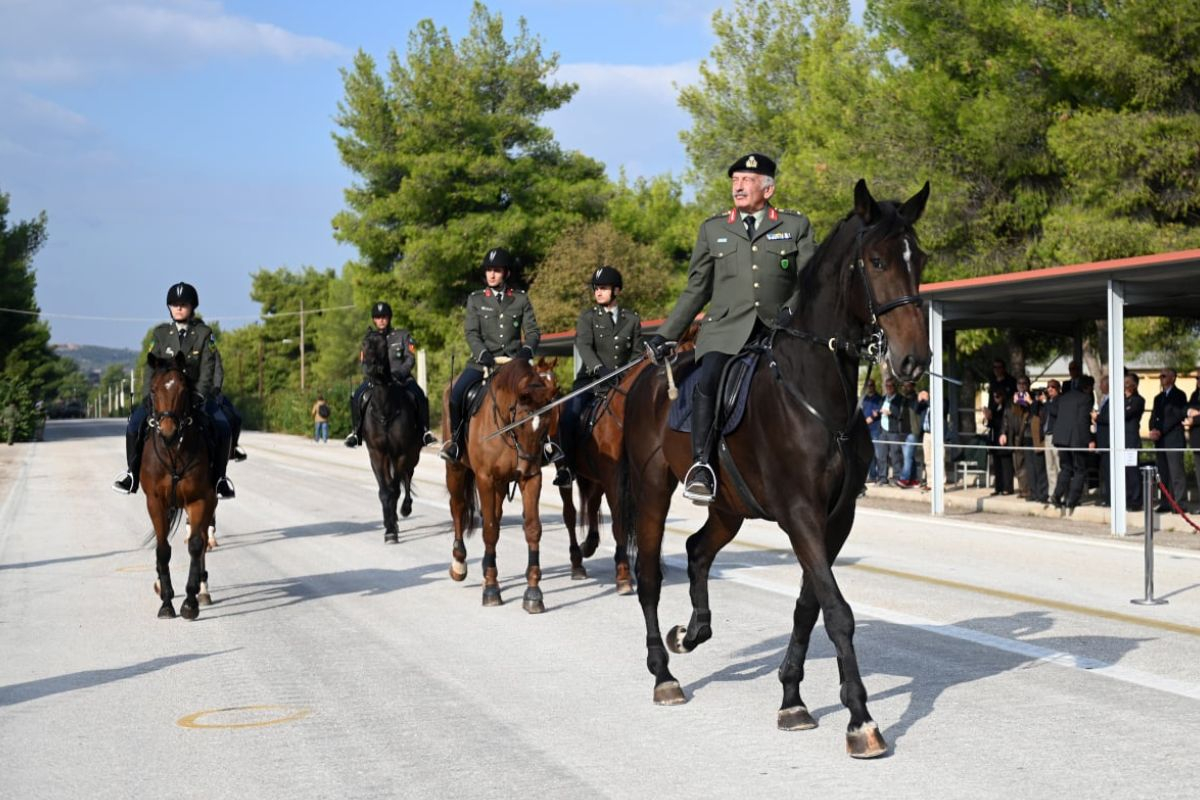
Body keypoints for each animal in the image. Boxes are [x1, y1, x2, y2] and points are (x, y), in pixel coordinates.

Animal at [142, 352, 218, 623]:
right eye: (153, 390)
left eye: (184, 390)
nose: (168, 431)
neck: (174, 450)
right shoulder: (155, 501)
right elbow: (163, 549)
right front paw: (166, 602)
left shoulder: (201, 500)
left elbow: (196, 545)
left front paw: (190, 602)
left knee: (203, 539)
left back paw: (203, 590)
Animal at [360, 331, 422, 544]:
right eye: (363, 344)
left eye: (381, 345)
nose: (370, 367)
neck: (385, 409)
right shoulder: (377, 454)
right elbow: (385, 491)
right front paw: (389, 528)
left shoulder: (403, 454)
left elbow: (395, 489)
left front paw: (393, 525)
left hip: (412, 455)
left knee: (407, 477)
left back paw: (405, 508)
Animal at [446, 357, 561, 614]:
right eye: (521, 422)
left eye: (545, 423)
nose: (526, 464)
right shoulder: (485, 479)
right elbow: (489, 530)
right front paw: (491, 589)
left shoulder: (531, 479)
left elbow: (532, 528)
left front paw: (533, 593)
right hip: (456, 469)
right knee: (458, 507)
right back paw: (459, 563)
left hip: (500, 485)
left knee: (495, 516)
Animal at [614, 179, 931, 758]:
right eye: (875, 261)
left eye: (918, 258)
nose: (913, 359)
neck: (815, 392)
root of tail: (644, 376)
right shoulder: (799, 512)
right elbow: (838, 611)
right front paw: (860, 719)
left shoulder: (836, 518)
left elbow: (811, 605)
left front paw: (792, 699)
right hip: (652, 490)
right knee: (648, 574)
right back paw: (663, 673)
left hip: (729, 506)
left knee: (698, 551)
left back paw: (692, 632)